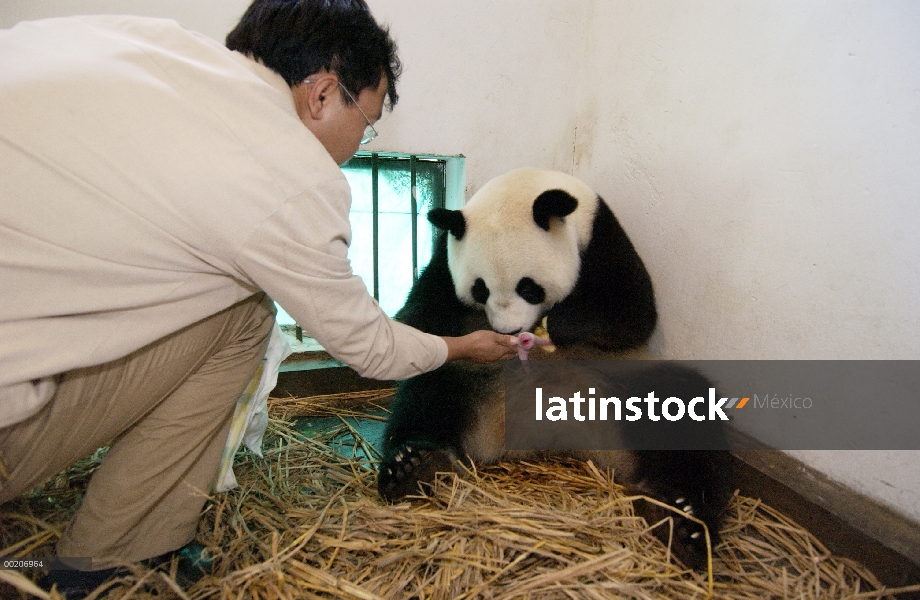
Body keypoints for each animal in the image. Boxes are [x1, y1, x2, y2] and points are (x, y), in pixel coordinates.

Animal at [378, 168, 728, 568]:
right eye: (480, 289)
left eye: (528, 287)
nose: (509, 331)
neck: (527, 186)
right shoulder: (444, 260)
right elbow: (419, 315)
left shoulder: (601, 237)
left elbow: (633, 312)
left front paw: (559, 323)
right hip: (474, 381)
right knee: (429, 392)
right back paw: (413, 466)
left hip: (623, 379)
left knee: (683, 404)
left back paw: (682, 521)